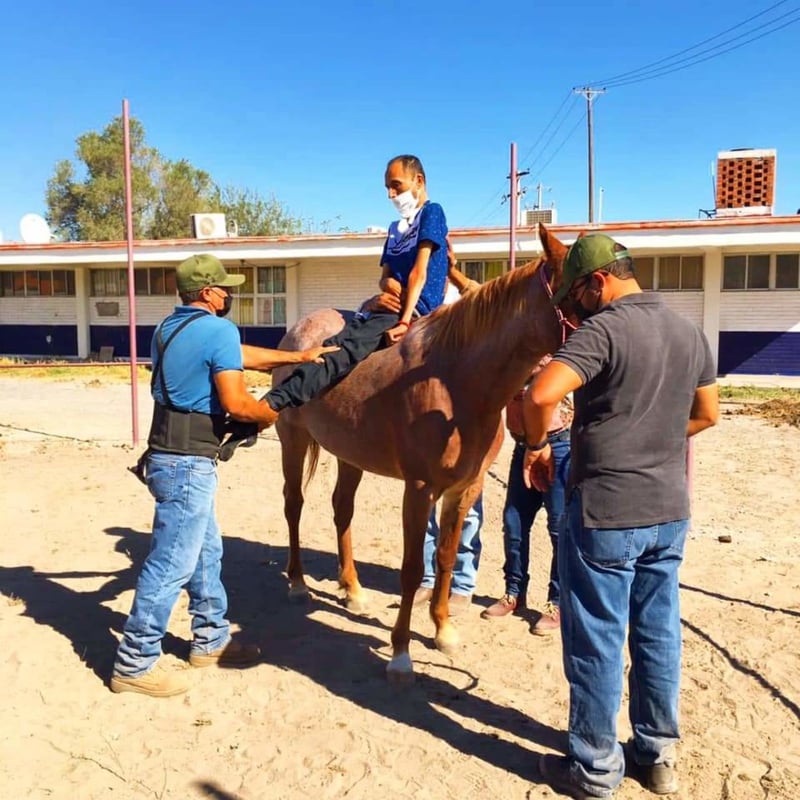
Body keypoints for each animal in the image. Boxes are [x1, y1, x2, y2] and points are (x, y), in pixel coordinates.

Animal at [272, 223, 572, 680]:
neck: (456, 379)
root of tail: (298, 330)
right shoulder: (418, 488)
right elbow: (413, 568)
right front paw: (400, 652)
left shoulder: (465, 488)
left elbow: (446, 557)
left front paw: (443, 630)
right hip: (294, 440)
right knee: (294, 505)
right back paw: (297, 583)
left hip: (349, 454)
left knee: (342, 509)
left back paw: (352, 588)